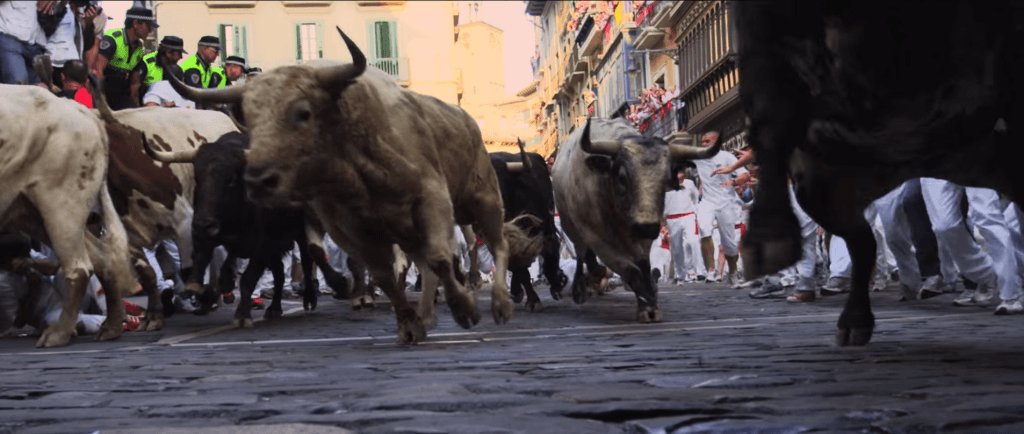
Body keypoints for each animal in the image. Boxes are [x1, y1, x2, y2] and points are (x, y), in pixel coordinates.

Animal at [0, 84, 135, 347]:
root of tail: (84, 112)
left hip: (62, 198)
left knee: (79, 266)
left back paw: (57, 334)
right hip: (28, 208)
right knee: (101, 257)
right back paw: (111, 327)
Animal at [144, 132, 323, 326]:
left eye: (230, 180)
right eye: (198, 178)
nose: (203, 224)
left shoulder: (263, 245)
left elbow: (248, 279)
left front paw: (242, 315)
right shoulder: (203, 232)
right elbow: (201, 258)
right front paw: (198, 286)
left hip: (301, 234)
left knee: (306, 262)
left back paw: (309, 299)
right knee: (279, 272)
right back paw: (274, 308)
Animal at [170, 28, 539, 344]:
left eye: (303, 113)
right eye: (249, 116)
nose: (259, 178)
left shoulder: (432, 200)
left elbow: (439, 258)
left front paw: (465, 309)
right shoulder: (350, 228)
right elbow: (383, 274)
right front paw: (407, 323)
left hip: (482, 199)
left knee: (496, 243)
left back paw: (500, 304)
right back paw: (426, 312)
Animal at [551, 118, 717, 323]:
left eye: (665, 179)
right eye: (622, 177)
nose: (647, 228)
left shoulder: (644, 232)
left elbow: (643, 264)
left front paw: (649, 300)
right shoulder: (595, 235)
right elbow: (625, 266)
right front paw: (646, 303)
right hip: (571, 226)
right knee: (582, 253)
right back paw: (582, 288)